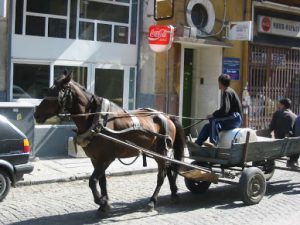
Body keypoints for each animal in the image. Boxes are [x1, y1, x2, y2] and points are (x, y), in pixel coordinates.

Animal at [34, 71, 185, 211]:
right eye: (48, 90)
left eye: (56, 92)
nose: (36, 114)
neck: (96, 120)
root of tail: (167, 116)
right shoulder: (95, 159)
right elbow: (102, 180)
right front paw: (104, 203)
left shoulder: (106, 158)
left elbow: (92, 181)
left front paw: (100, 201)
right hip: (157, 151)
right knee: (168, 168)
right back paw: (174, 193)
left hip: (162, 151)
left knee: (162, 174)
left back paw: (152, 201)